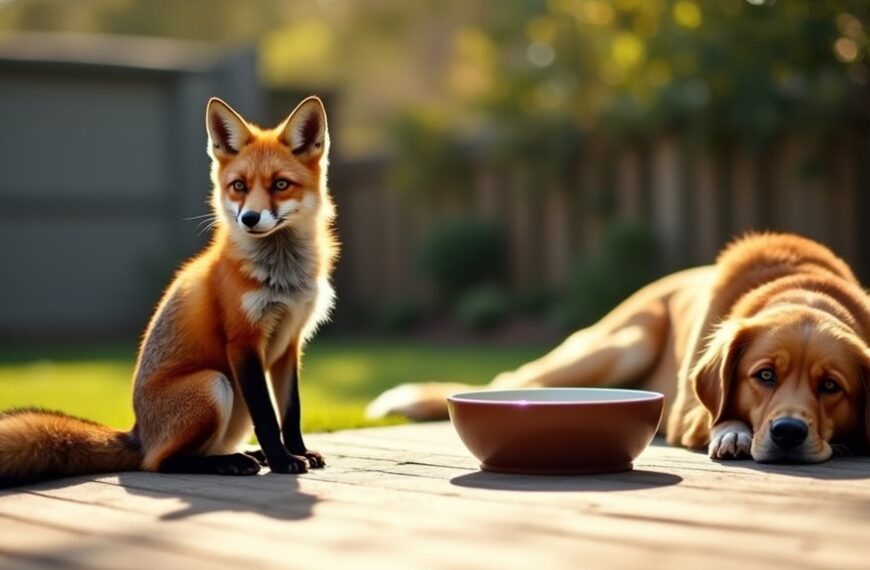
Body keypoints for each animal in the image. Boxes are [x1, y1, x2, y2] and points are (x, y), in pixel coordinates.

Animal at [0, 96, 338, 486]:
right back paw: (233, 462)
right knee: (163, 462)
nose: (249, 219)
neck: (282, 278)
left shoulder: (290, 342)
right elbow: (268, 418)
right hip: (216, 385)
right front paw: (283, 461)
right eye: (239, 186)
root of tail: (137, 433)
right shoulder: (243, 341)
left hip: (233, 405)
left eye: (281, 184)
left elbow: (291, 412)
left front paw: (298, 452)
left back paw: (247, 455)